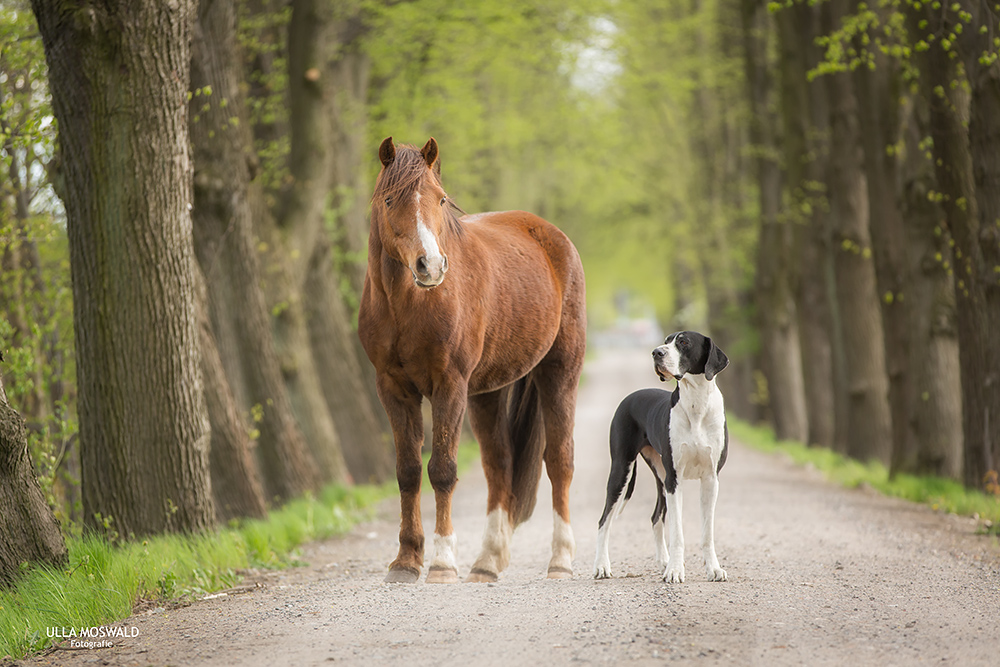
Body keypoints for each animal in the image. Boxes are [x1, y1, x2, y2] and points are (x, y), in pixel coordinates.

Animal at [360, 137, 584, 584]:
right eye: (390, 199)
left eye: (441, 199)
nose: (431, 265)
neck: (409, 305)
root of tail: (552, 236)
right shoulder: (393, 389)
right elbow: (408, 471)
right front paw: (406, 561)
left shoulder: (449, 385)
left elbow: (442, 470)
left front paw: (443, 563)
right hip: (488, 393)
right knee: (499, 466)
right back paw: (487, 562)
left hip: (560, 373)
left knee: (560, 462)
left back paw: (560, 560)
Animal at [588, 332, 732, 580]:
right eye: (666, 340)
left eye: (683, 342)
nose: (656, 352)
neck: (696, 403)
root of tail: (631, 396)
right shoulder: (674, 479)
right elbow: (677, 532)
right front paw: (675, 570)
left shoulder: (710, 479)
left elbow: (707, 533)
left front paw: (713, 568)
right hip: (622, 470)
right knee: (603, 520)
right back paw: (602, 566)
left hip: (661, 476)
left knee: (655, 517)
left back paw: (663, 561)